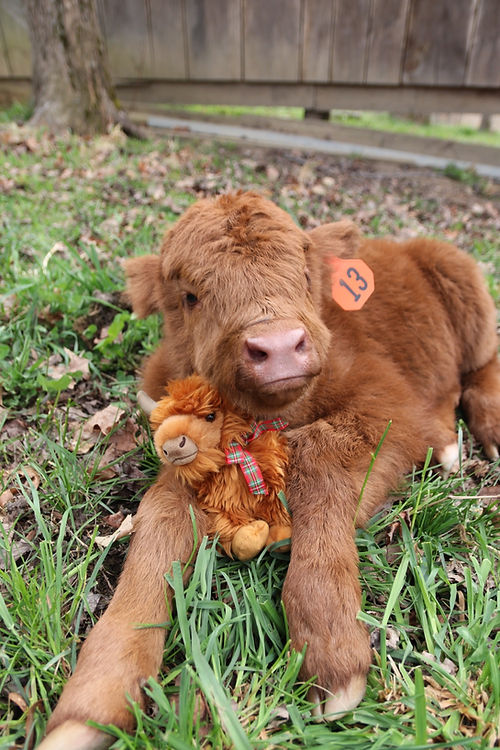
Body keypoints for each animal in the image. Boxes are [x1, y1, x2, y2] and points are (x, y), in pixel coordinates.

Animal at [39, 191, 500, 749]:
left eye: (302, 275)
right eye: (190, 296)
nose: (278, 346)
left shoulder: (386, 404)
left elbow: (316, 457)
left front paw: (330, 643)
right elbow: (158, 521)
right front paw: (92, 701)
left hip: (468, 294)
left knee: (483, 364)